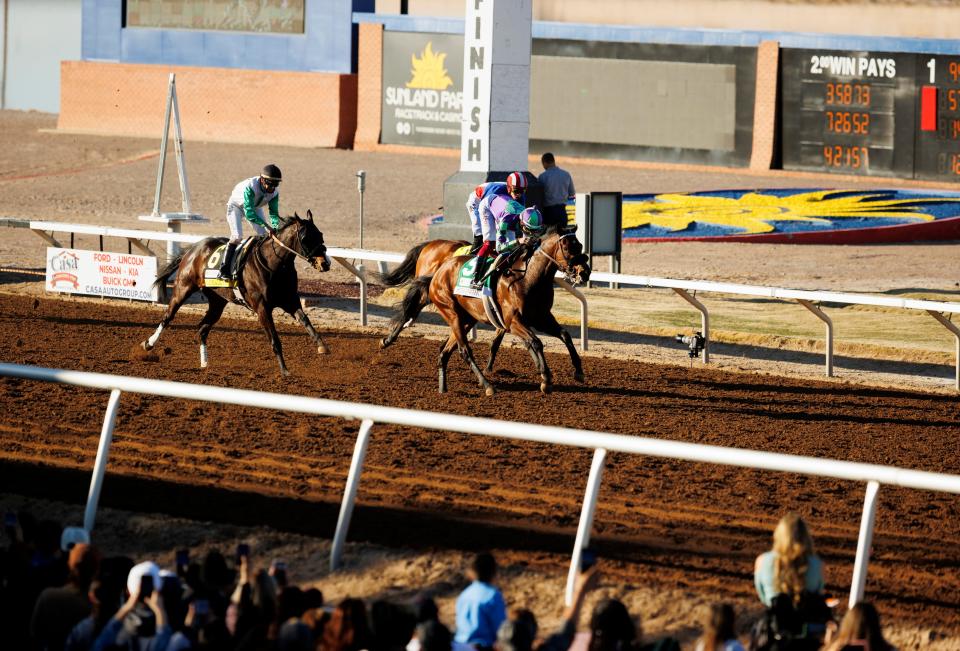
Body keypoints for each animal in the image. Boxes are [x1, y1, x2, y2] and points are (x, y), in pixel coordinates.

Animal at [141, 213, 332, 376]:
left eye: (320, 234)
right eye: (306, 238)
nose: (325, 263)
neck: (274, 265)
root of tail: (193, 249)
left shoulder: (290, 301)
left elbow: (306, 321)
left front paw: (322, 347)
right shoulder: (262, 308)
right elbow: (275, 340)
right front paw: (284, 370)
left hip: (217, 301)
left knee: (202, 328)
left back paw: (205, 363)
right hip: (183, 287)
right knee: (168, 317)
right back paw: (149, 343)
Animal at [392, 230, 588, 392]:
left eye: (580, 245)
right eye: (567, 248)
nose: (584, 272)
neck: (528, 279)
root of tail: (438, 273)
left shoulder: (541, 317)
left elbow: (564, 335)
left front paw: (578, 371)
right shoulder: (513, 321)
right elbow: (535, 342)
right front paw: (545, 378)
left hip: (466, 319)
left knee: (446, 351)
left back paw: (443, 388)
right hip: (452, 313)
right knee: (464, 350)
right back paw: (487, 385)